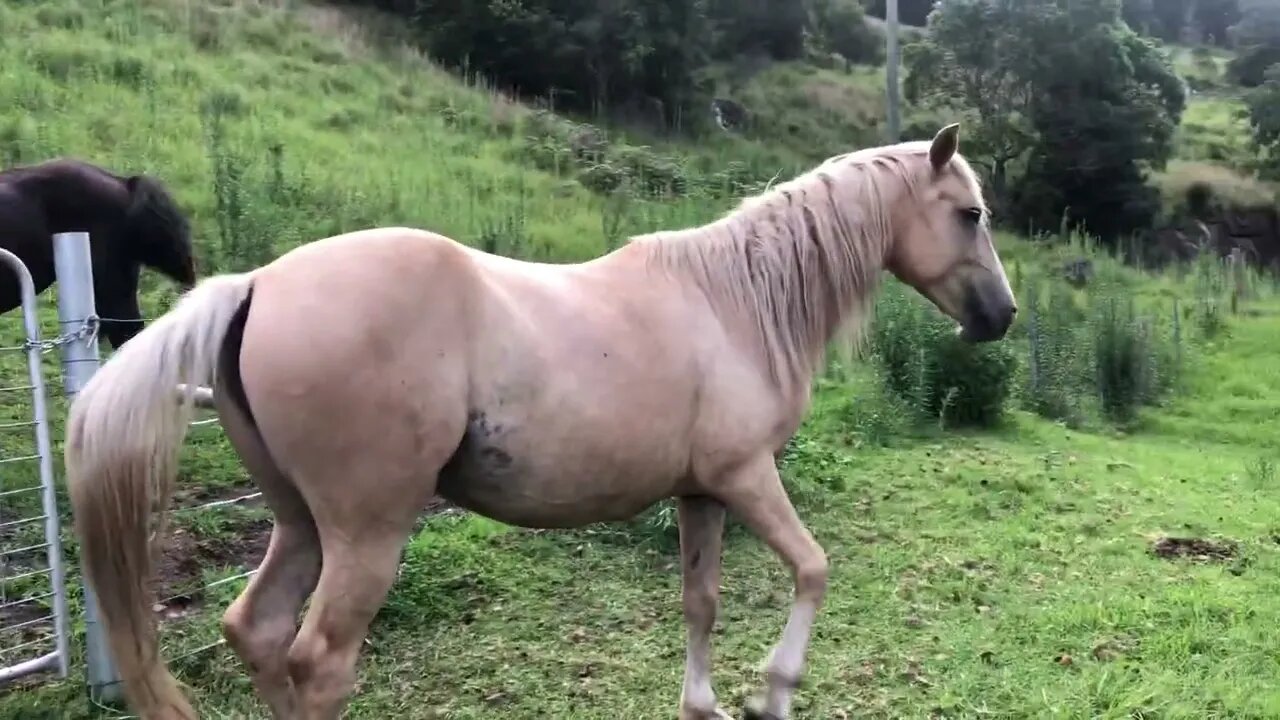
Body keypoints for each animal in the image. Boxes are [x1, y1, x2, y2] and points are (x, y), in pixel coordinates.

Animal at [64, 124, 1013, 717]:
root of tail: (258, 285)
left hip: (300, 523)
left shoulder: (702, 493)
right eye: (969, 214)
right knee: (319, 661)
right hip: (366, 533)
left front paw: (703, 704)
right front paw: (771, 693)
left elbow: (699, 603)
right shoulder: (747, 478)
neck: (733, 302)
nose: (1001, 318)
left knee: (256, 632)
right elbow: (813, 570)